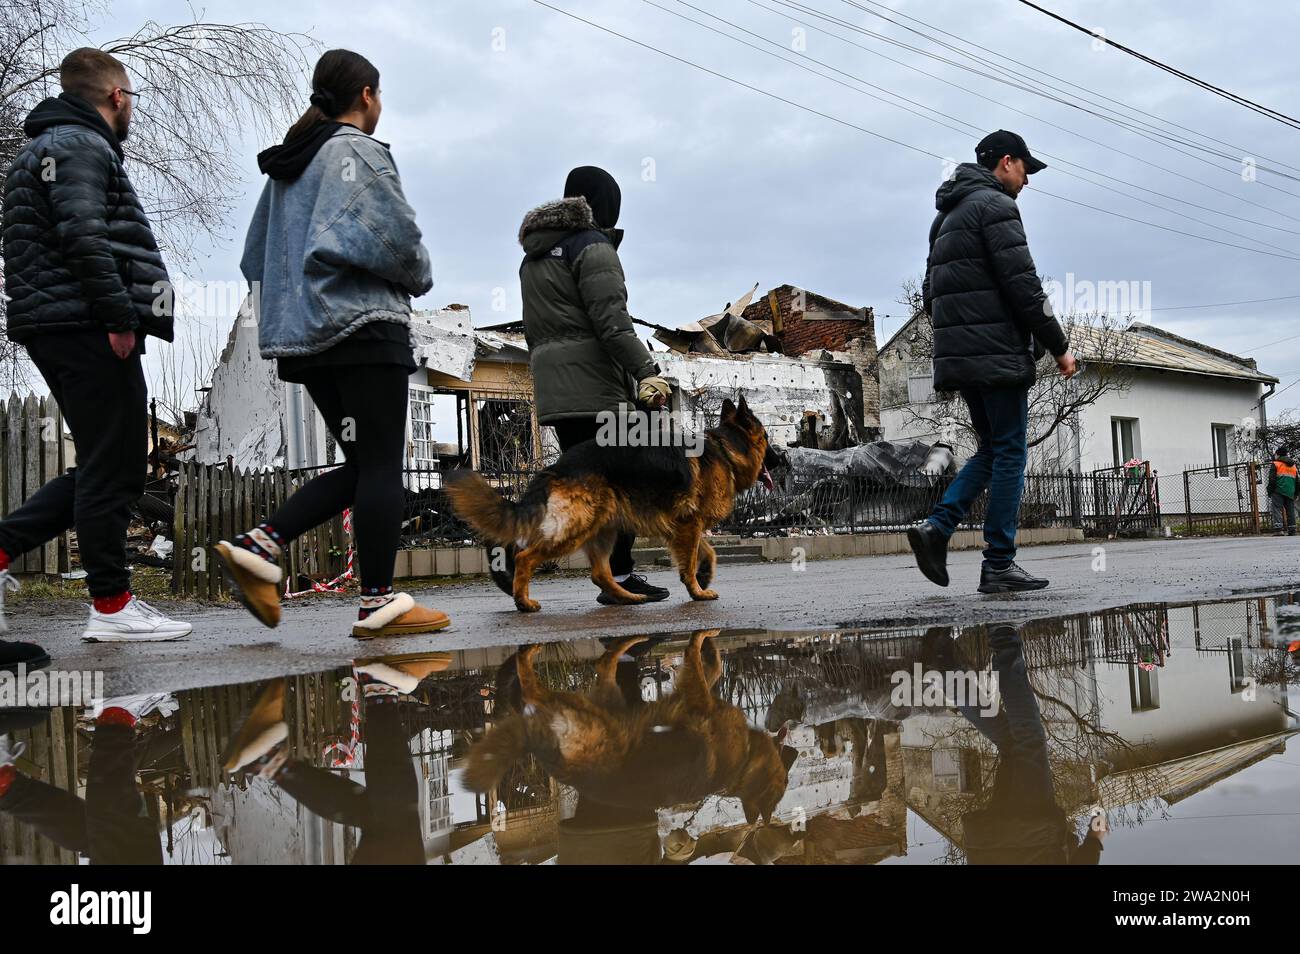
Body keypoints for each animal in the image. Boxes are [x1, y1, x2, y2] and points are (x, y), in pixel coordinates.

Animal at [441, 395, 780, 613]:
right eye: (766, 439)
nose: (783, 460)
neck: (726, 450)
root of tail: (557, 466)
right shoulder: (689, 524)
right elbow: (692, 559)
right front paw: (696, 590)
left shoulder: (683, 526)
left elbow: (706, 552)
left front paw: (704, 575)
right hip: (576, 529)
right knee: (526, 556)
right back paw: (523, 601)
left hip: (603, 530)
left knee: (600, 574)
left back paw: (627, 598)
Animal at [462, 631, 795, 826]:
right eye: (784, 780)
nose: (791, 750)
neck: (744, 762)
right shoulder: (697, 696)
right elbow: (705, 665)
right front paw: (705, 640)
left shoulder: (693, 696)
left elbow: (711, 668)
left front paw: (710, 647)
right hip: (582, 710)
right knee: (533, 689)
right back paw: (527, 656)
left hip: (607, 702)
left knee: (605, 663)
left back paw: (625, 644)